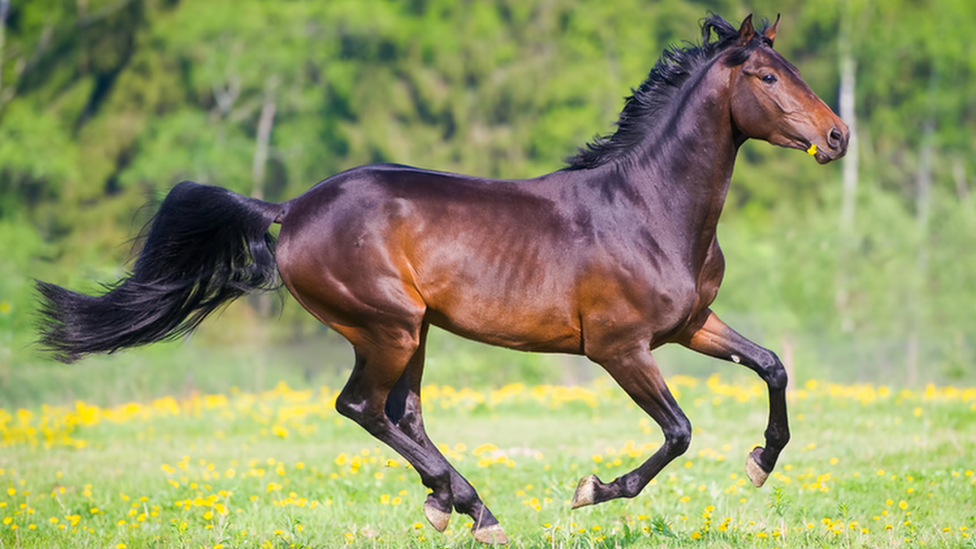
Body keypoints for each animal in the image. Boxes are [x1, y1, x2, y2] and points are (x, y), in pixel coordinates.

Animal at [36, 12, 848, 544]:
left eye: (798, 72)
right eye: (768, 76)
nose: (838, 136)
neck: (647, 208)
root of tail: (290, 208)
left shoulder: (691, 326)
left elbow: (772, 366)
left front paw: (760, 463)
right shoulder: (620, 349)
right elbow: (678, 431)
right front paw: (592, 490)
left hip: (415, 331)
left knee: (404, 414)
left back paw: (449, 503)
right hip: (386, 326)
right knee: (363, 407)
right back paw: (475, 507)